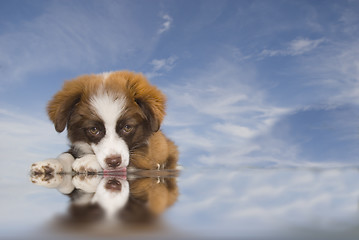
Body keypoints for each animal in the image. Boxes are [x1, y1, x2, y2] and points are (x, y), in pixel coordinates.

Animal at [31, 70, 178, 173]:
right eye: (94, 129)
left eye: (127, 127)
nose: (113, 162)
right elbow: (67, 154)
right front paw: (51, 163)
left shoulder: (147, 153)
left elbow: (135, 159)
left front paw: (88, 161)